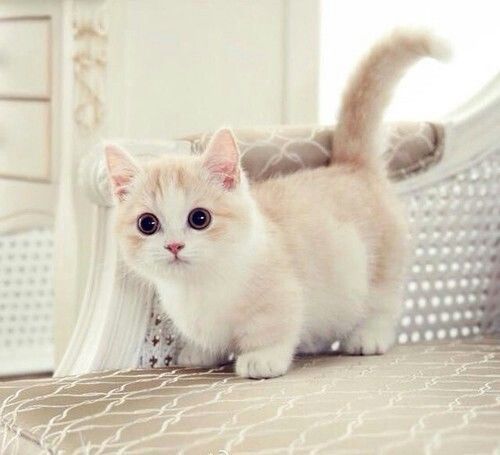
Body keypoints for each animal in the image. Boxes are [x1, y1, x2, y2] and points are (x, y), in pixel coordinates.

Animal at [105, 30, 450, 380]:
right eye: (147, 224)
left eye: (199, 218)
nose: (174, 246)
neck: (200, 285)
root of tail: (351, 165)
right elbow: (207, 338)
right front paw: (199, 352)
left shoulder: (281, 294)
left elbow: (274, 328)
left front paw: (262, 358)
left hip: (381, 265)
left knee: (383, 303)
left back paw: (368, 336)